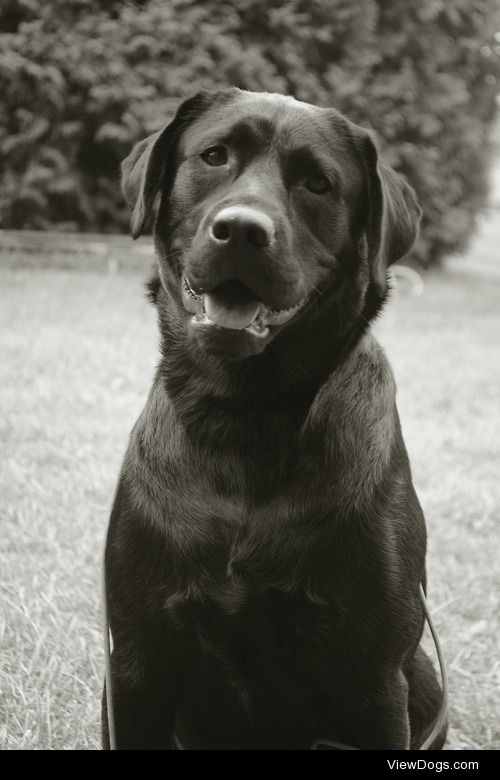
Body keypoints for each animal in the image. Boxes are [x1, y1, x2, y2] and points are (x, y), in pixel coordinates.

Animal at [103, 87, 448, 748]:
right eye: (214, 156)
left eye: (317, 183)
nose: (241, 230)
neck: (247, 418)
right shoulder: (135, 665)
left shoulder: (373, 680)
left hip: (423, 678)